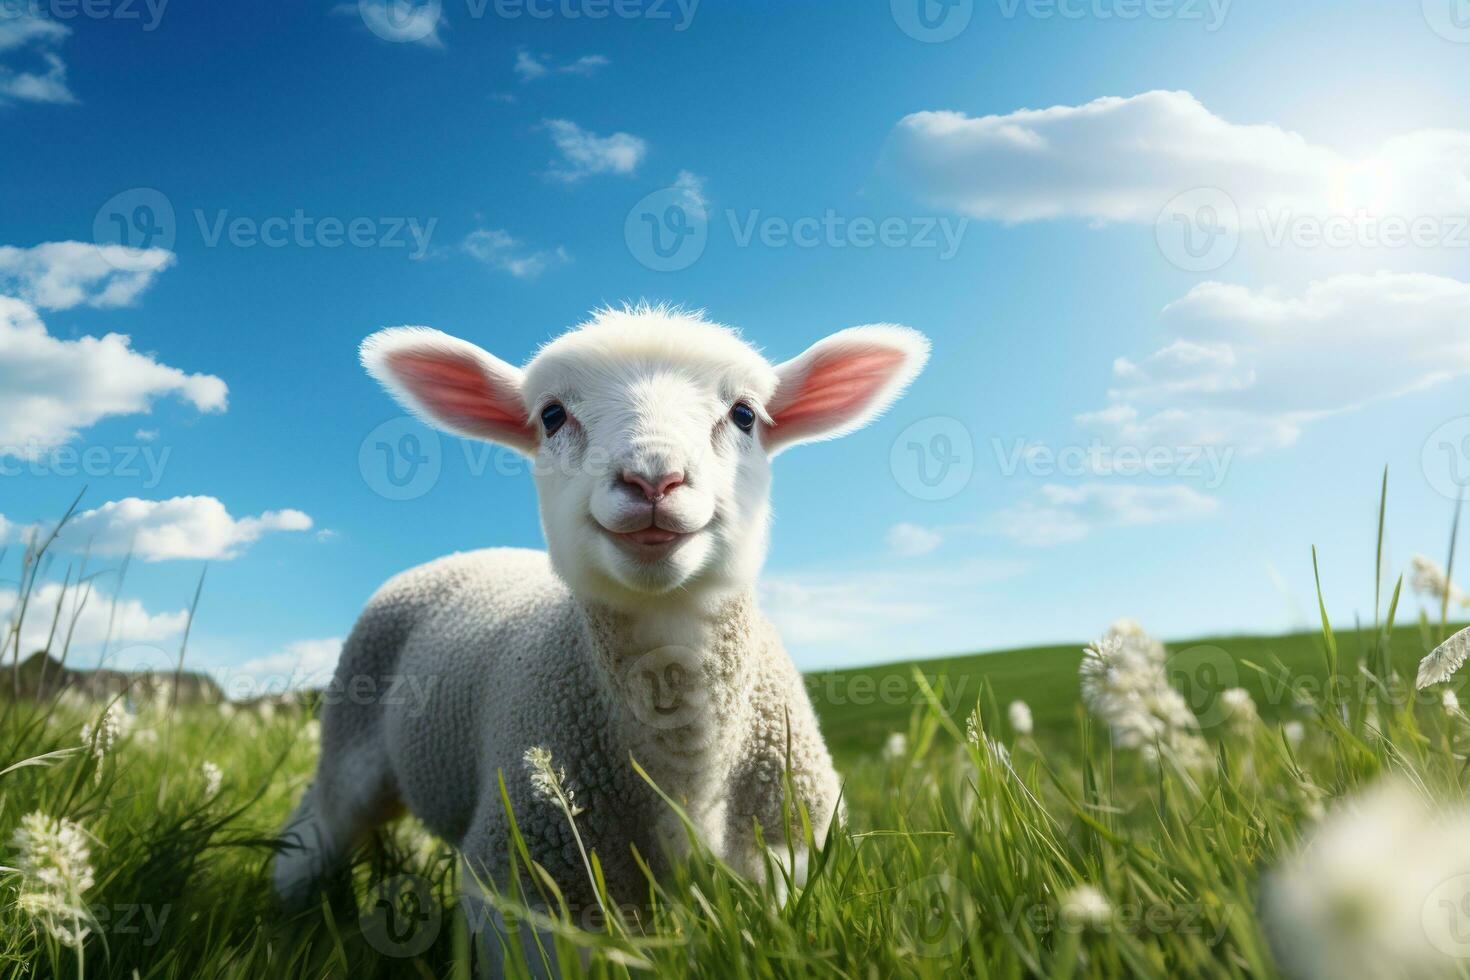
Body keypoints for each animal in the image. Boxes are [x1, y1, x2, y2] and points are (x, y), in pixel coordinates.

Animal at [270, 308, 923, 963]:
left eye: (744, 414)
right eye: (552, 415)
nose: (653, 480)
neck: (686, 772)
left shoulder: (784, 852)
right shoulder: (526, 878)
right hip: (351, 734)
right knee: (318, 820)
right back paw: (289, 908)